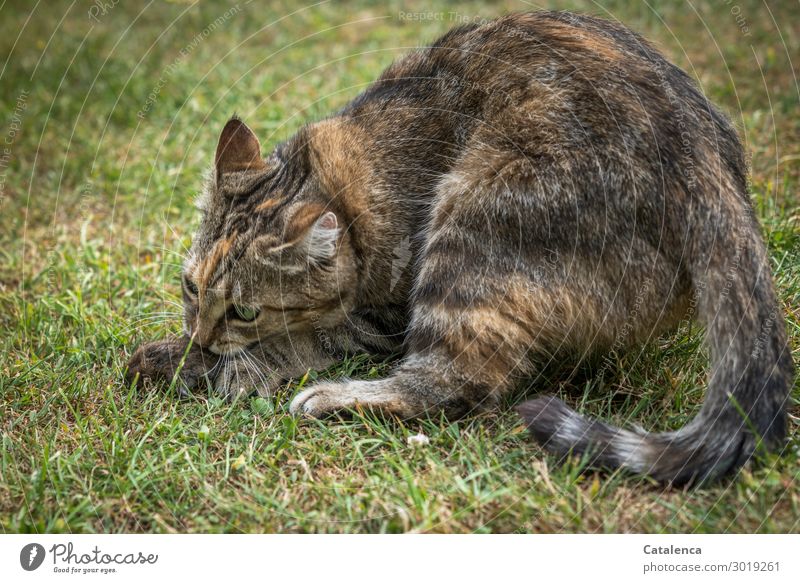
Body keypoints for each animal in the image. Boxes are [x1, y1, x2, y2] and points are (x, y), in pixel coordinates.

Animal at [126, 11, 792, 486]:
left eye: (244, 310)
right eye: (190, 287)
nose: (202, 333)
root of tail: (709, 168)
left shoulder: (381, 318)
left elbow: (306, 339)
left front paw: (207, 363)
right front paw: (184, 351)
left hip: (472, 218)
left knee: (455, 384)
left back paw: (334, 398)